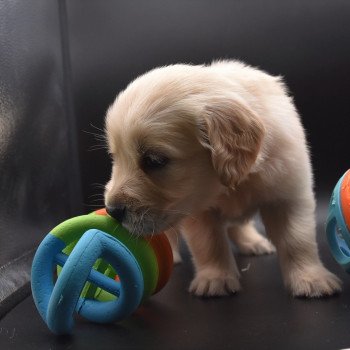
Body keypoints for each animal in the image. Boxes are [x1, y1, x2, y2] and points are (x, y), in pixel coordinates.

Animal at [104, 60, 342, 298]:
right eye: (116, 158)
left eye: (154, 160)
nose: (112, 211)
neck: (229, 184)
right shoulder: (197, 210)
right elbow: (209, 243)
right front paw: (215, 279)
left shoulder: (288, 192)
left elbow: (297, 240)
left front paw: (311, 279)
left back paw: (252, 241)